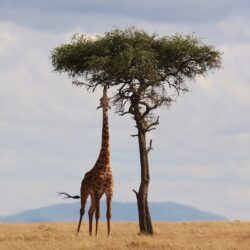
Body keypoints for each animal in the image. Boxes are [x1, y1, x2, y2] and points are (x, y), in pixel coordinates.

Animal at [58, 86, 113, 236]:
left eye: (108, 98)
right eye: (100, 99)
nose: (105, 87)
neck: (106, 163)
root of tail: (83, 178)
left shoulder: (109, 191)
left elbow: (108, 214)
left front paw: (108, 235)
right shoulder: (98, 189)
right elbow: (99, 214)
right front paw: (97, 235)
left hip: (94, 195)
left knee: (90, 211)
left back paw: (89, 233)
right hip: (85, 191)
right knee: (83, 210)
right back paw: (78, 233)